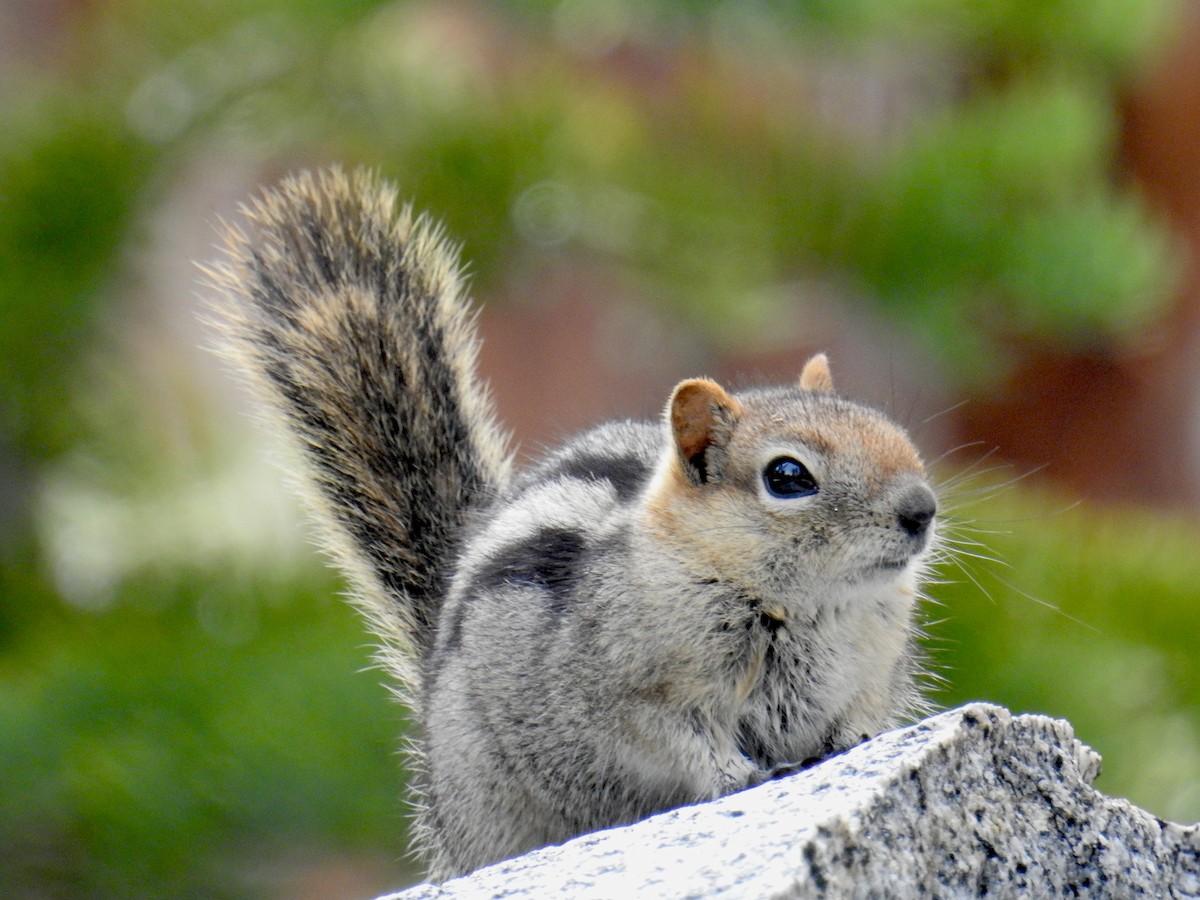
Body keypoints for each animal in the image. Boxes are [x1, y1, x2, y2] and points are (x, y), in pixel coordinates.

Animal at [205, 167, 940, 880]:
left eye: (883, 426)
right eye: (788, 477)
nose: (921, 510)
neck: (808, 604)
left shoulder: (874, 672)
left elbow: (860, 714)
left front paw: (857, 740)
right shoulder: (636, 692)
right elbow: (685, 744)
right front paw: (739, 775)